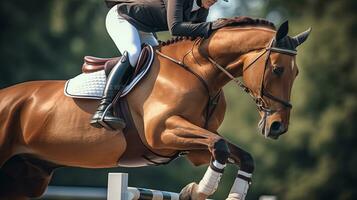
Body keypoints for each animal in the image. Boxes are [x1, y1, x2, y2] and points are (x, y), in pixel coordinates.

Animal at [0, 17, 308, 200]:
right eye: (278, 69)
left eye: (297, 73)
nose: (278, 126)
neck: (199, 72)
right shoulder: (162, 133)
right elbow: (219, 147)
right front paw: (197, 191)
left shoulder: (194, 148)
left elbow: (241, 155)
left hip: (27, 177)